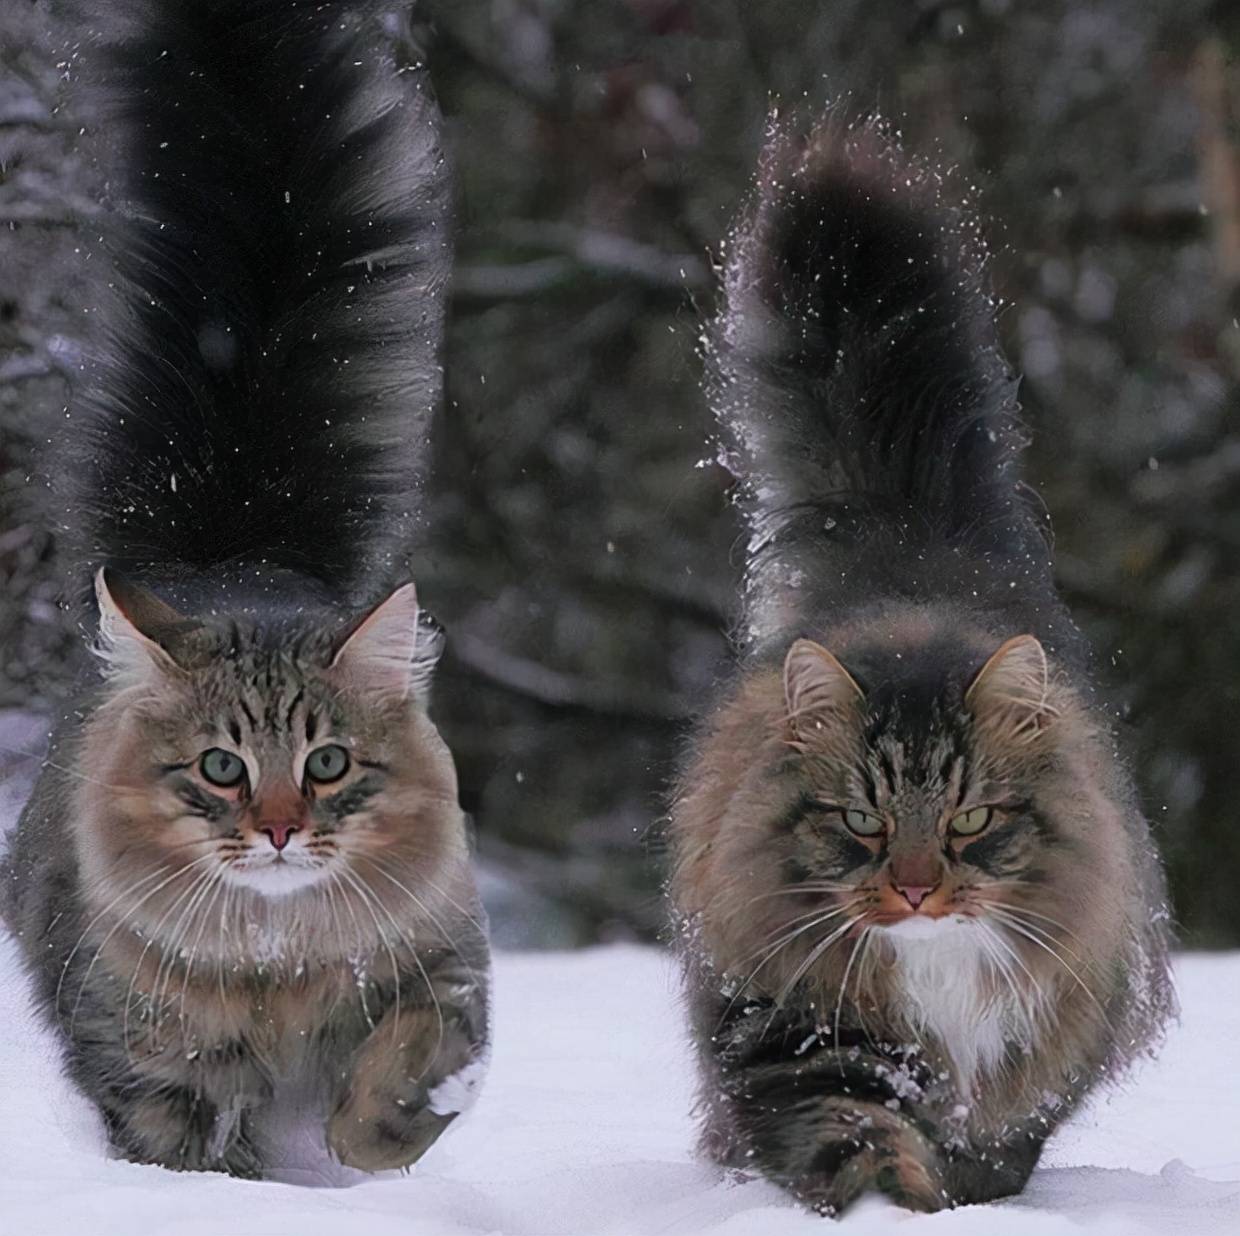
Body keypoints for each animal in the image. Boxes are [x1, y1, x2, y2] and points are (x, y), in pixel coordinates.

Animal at [1, 0, 488, 1175]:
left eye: (328, 763)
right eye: (221, 768)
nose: (275, 829)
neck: (278, 963)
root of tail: (234, 546)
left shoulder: (445, 964)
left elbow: (405, 1059)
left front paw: (373, 1139)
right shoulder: (146, 1062)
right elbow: (195, 1155)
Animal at [664, 115, 1175, 1214]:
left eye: (970, 821)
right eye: (862, 822)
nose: (912, 890)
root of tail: (904, 538)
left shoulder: (1037, 1052)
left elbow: (998, 1146)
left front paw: (969, 1203)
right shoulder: (794, 1028)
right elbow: (852, 1130)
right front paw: (897, 1203)